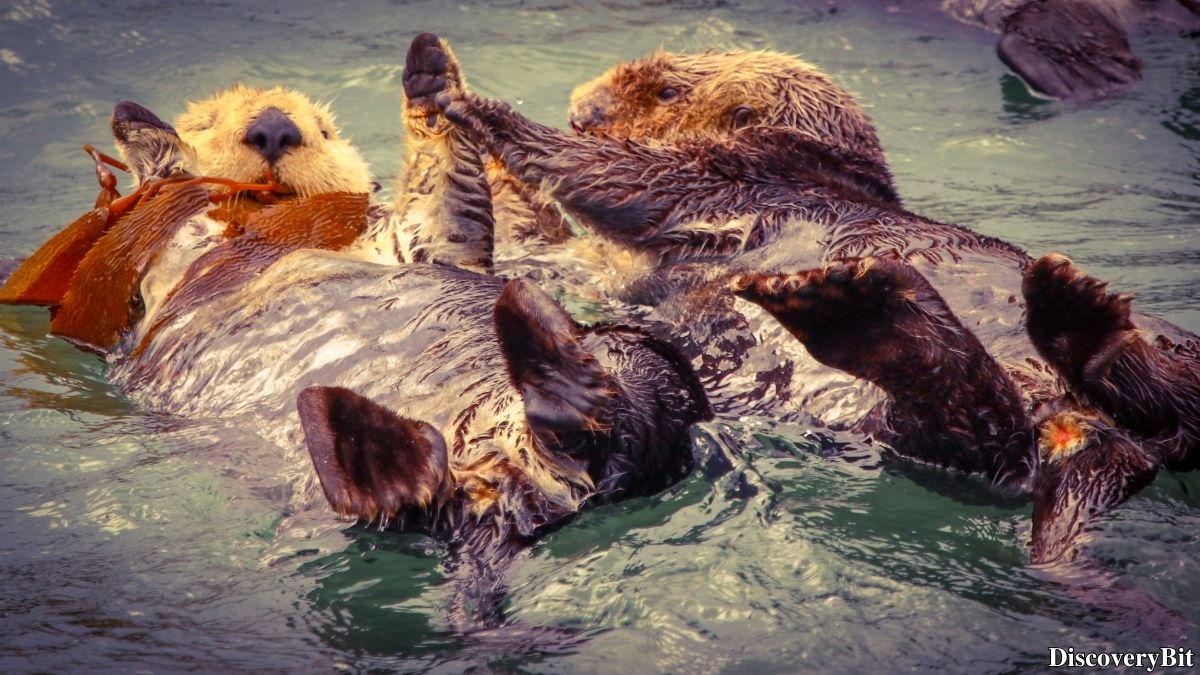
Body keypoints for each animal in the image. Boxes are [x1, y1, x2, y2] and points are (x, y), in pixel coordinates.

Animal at [412, 35, 1199, 573]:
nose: (583, 110)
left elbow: (623, 178)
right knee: (986, 432)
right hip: (905, 432)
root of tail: (1086, 427)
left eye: (663, 92)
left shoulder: (731, 175)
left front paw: (471, 103)